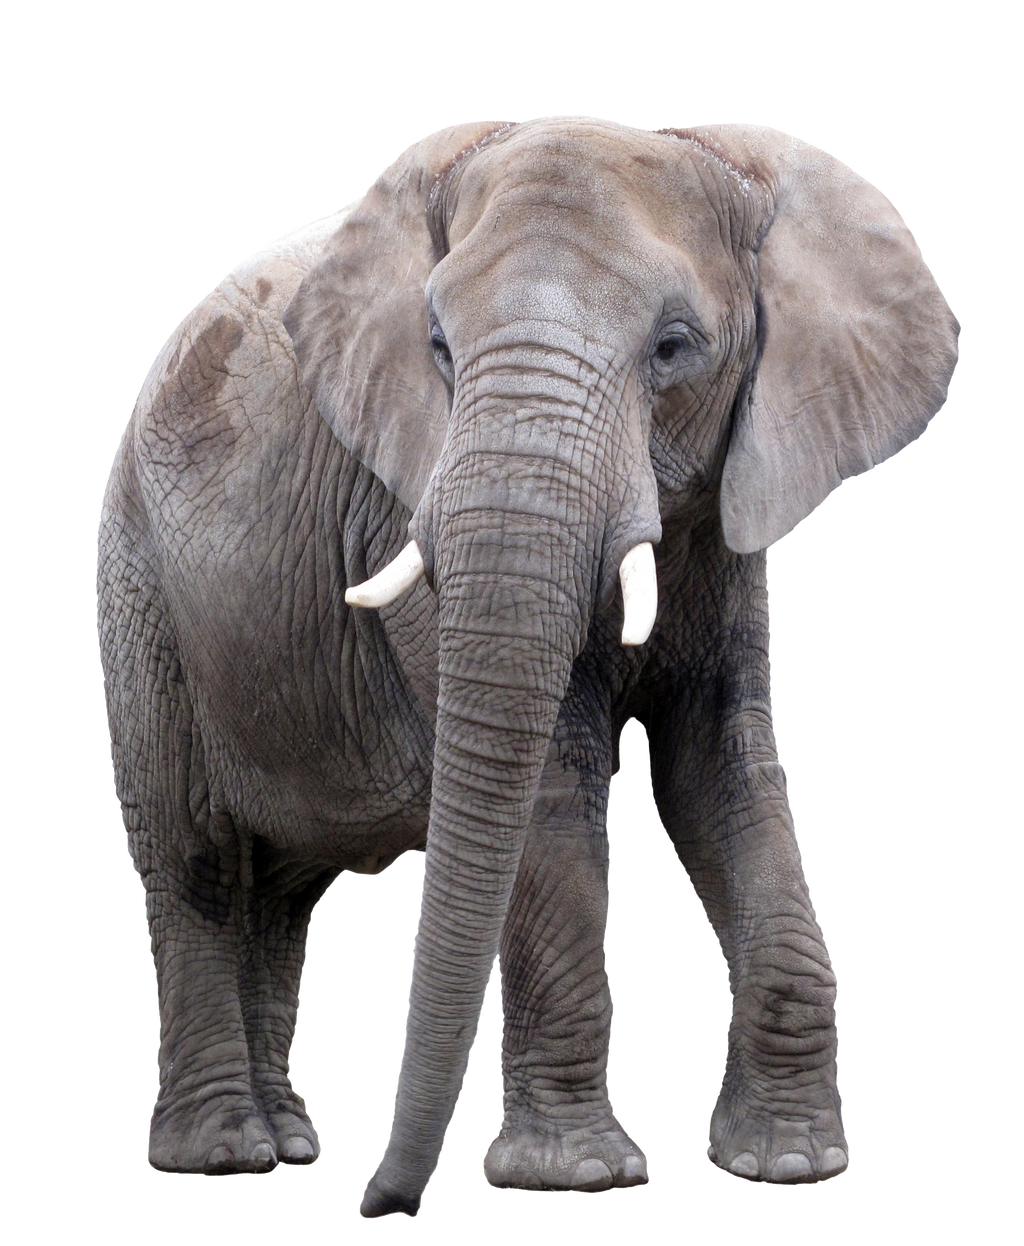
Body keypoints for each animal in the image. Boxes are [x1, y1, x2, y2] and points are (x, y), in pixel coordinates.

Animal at [94, 114, 959, 1214]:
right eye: (437, 346)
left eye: (675, 348)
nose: (383, 1203)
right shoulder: (403, 503)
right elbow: (551, 784)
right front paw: (576, 1177)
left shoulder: (732, 520)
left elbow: (723, 774)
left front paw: (789, 1165)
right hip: (140, 585)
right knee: (197, 860)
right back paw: (226, 1154)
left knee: (279, 895)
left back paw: (287, 1140)